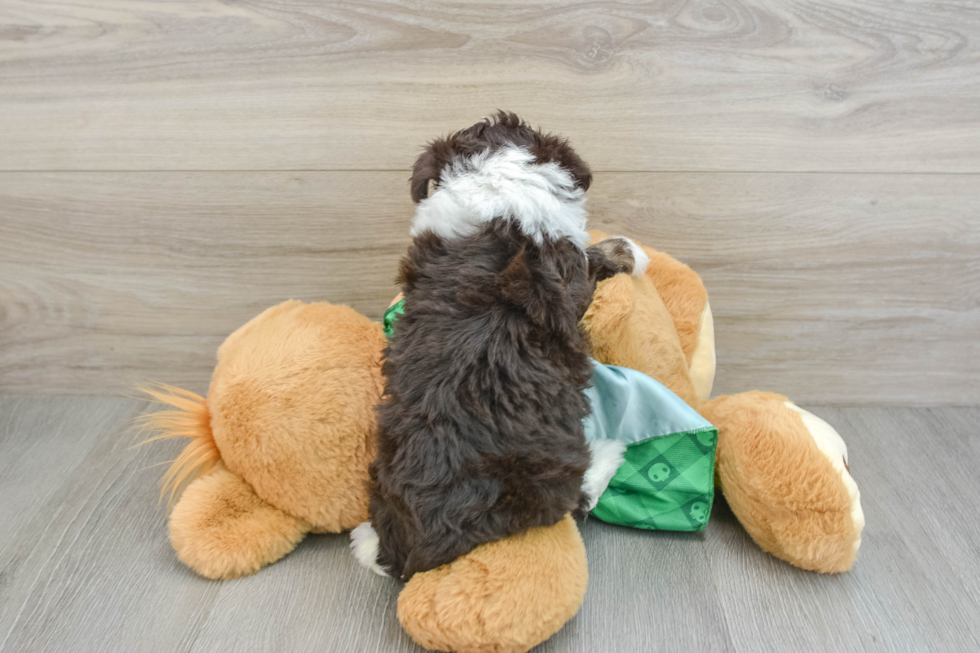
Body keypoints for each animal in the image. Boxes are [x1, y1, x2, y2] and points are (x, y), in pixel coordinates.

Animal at [352, 112, 644, 580]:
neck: (494, 183)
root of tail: (414, 551)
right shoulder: (570, 275)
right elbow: (589, 260)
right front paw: (625, 250)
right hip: (546, 474)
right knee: (572, 499)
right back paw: (609, 453)